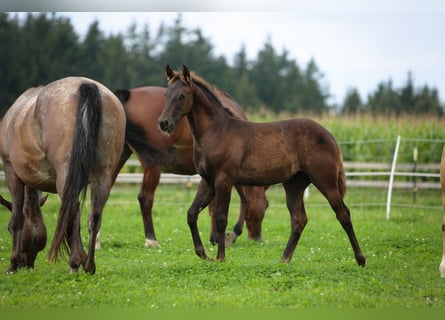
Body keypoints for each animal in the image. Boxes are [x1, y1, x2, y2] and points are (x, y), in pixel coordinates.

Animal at [0, 76, 126, 274]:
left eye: (34, 241)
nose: (27, 263)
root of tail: (87, 86)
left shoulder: (11, 172)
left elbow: (17, 219)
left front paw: (12, 263)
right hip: (103, 174)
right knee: (94, 216)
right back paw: (89, 265)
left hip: (65, 176)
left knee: (72, 212)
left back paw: (75, 262)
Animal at [108, 84, 268, 248]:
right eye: (266, 206)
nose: (257, 238)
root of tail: (128, 94)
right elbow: (243, 200)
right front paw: (231, 234)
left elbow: (213, 205)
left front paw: (215, 237)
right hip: (152, 165)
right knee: (145, 198)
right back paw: (151, 239)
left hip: (117, 158)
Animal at [158, 64, 366, 264]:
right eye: (166, 95)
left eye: (182, 95)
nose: (163, 122)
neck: (217, 132)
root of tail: (330, 136)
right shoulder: (208, 181)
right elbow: (192, 214)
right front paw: (203, 254)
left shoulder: (224, 180)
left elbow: (221, 218)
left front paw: (220, 258)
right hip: (294, 184)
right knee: (299, 219)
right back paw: (284, 259)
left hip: (325, 181)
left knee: (343, 214)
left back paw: (360, 259)